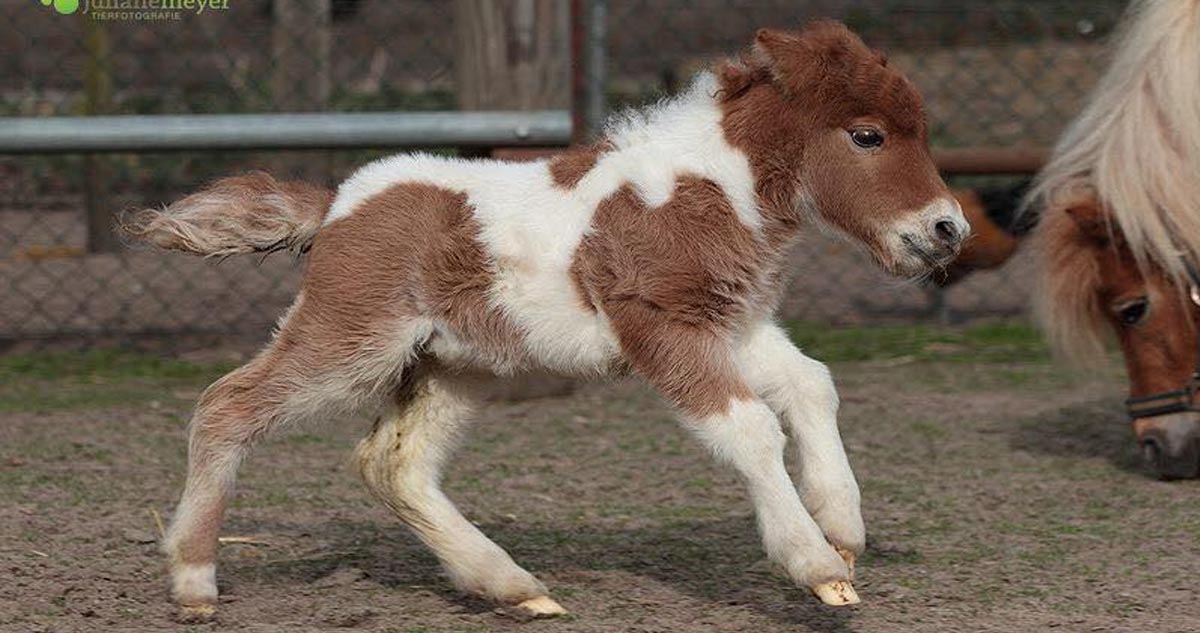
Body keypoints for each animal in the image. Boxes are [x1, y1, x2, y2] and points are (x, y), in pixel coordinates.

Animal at [131, 22, 969, 618]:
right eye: (867, 135)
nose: (947, 229)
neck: (702, 190)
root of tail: (337, 203)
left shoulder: (732, 324)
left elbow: (812, 384)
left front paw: (843, 527)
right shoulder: (661, 326)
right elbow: (751, 427)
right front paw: (817, 566)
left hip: (452, 364)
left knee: (393, 462)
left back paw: (512, 586)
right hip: (352, 339)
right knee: (227, 405)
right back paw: (195, 581)